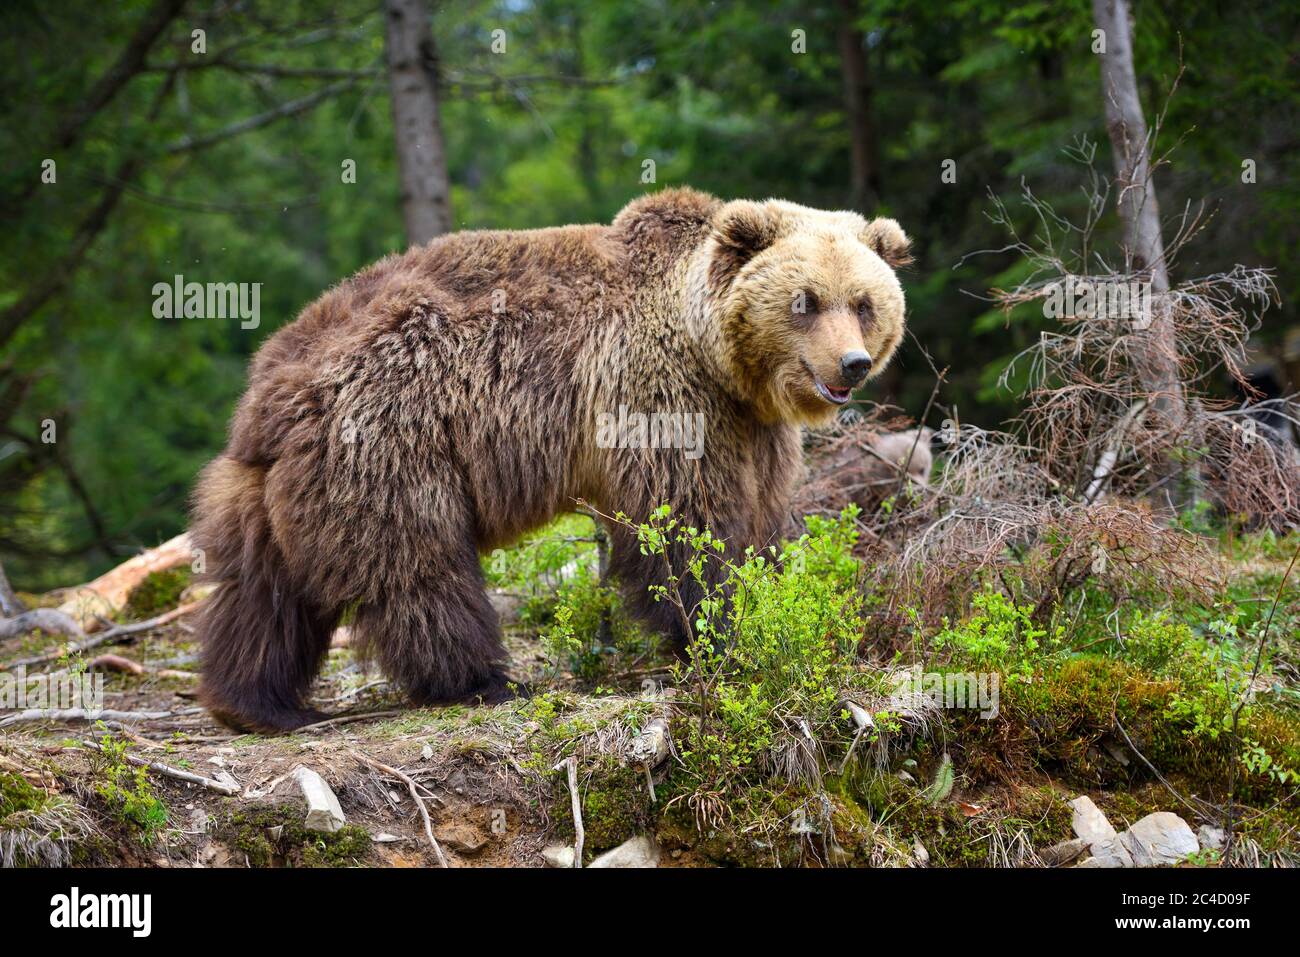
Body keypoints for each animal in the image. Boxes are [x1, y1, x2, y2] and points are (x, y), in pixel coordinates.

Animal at [191, 188, 911, 732]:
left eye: (864, 302)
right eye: (805, 300)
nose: (850, 363)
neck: (722, 361)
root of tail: (271, 387)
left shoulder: (750, 427)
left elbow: (758, 520)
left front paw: (767, 605)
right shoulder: (661, 397)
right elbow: (686, 525)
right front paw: (719, 632)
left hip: (266, 486)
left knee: (260, 589)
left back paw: (257, 702)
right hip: (390, 437)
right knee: (417, 568)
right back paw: (482, 678)